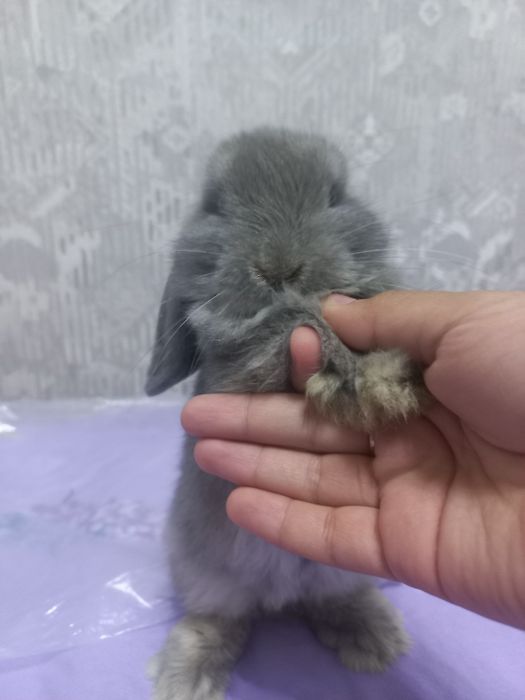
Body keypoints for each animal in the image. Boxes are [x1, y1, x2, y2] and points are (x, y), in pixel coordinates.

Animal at [145, 128, 425, 700]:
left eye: (336, 195)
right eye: (215, 204)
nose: (279, 268)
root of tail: (279, 594)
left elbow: (317, 313)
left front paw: (378, 381)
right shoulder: (236, 364)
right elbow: (295, 318)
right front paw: (368, 380)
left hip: (336, 570)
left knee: (330, 601)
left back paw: (374, 639)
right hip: (204, 570)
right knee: (221, 619)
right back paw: (187, 676)